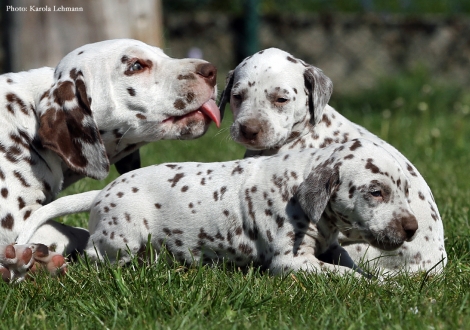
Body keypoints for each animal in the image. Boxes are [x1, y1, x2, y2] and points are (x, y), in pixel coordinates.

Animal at [0, 38, 221, 282]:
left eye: (163, 55)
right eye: (136, 66)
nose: (212, 71)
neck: (29, 119)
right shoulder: (14, 220)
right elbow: (77, 234)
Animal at [16, 138, 418, 278]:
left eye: (403, 190)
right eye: (376, 191)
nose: (412, 228)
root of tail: (104, 191)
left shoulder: (330, 246)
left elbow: (351, 263)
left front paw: (386, 280)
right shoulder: (292, 262)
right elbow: (346, 276)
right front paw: (373, 285)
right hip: (124, 237)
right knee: (94, 255)